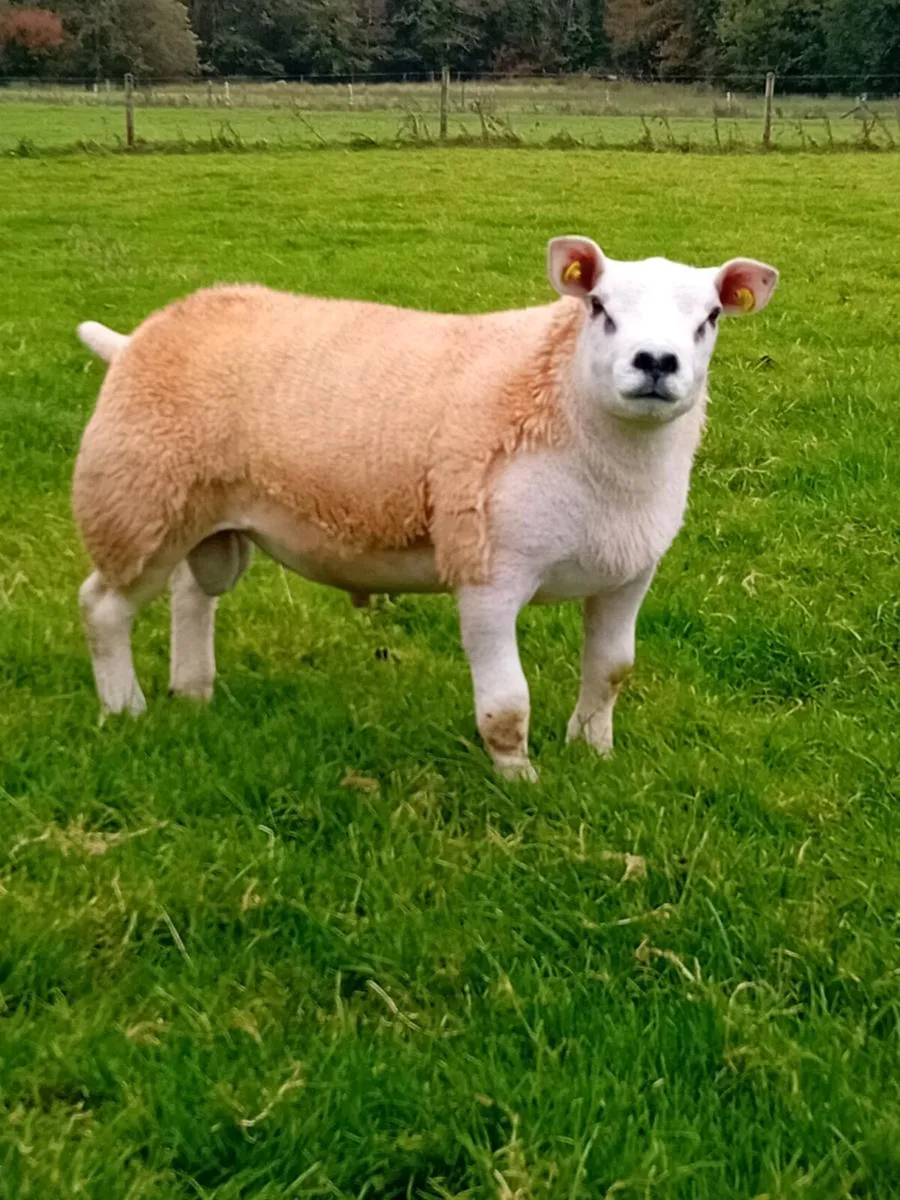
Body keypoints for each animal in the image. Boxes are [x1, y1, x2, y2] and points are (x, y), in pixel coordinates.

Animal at [73, 236, 778, 780]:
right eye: (599, 307)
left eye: (711, 317)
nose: (656, 362)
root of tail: (137, 337)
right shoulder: (487, 571)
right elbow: (506, 706)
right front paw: (520, 782)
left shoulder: (627, 574)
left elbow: (611, 673)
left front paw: (594, 754)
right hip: (134, 502)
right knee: (103, 607)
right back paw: (125, 709)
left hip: (201, 513)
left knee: (194, 594)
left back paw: (194, 693)